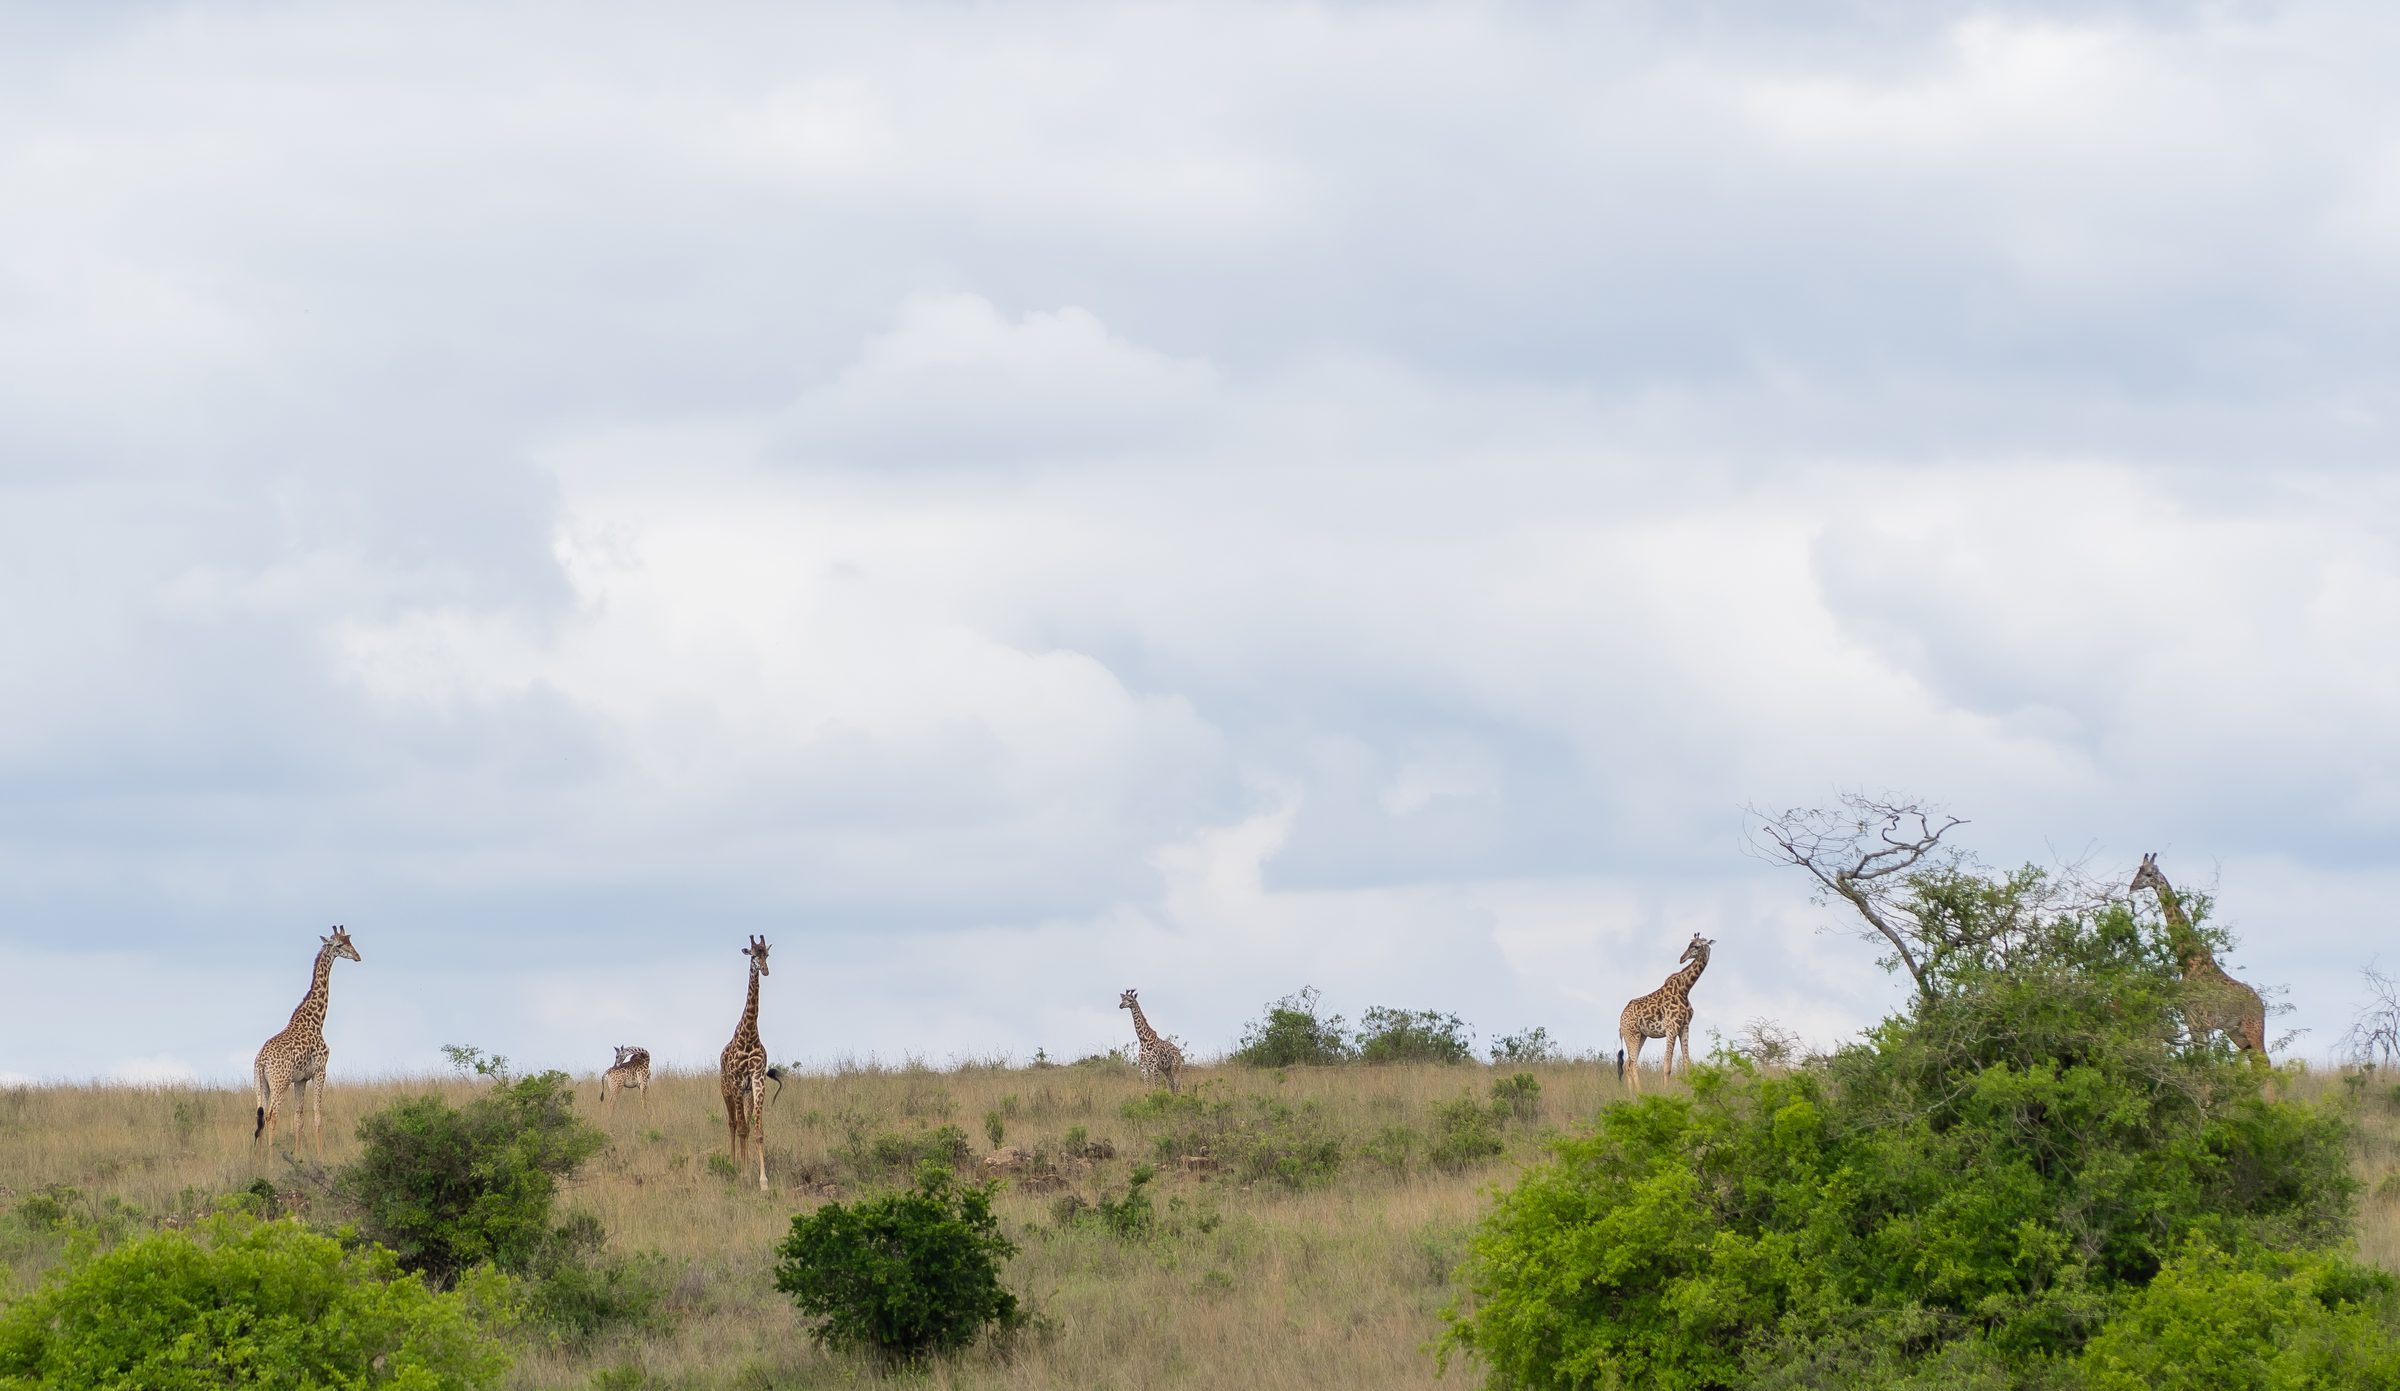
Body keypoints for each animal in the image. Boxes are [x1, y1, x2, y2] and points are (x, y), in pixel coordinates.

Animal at [252, 926, 362, 1159]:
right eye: (340, 945)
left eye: (350, 941)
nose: (358, 956)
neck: (317, 1019)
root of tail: (261, 1061)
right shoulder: (320, 1071)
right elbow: (318, 1115)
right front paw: (320, 1156)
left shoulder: (300, 1079)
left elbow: (298, 1119)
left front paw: (298, 1154)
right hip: (280, 1082)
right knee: (272, 1115)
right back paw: (271, 1159)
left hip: (261, 1084)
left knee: (259, 1115)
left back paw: (257, 1158)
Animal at [1615, 932, 1712, 1094]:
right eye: (1690, 945)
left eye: (1697, 946)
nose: (1682, 958)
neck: (1685, 989)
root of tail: (1620, 1021)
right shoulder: (1671, 1028)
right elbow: (1667, 1064)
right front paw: (1665, 1092)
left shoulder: (1684, 1027)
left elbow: (1687, 1063)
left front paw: (1691, 1091)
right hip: (1632, 1034)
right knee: (1632, 1063)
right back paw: (1640, 1093)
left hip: (1641, 1035)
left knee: (1627, 1064)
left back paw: (1631, 1094)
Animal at [2131, 852, 2267, 1056]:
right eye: (2138, 870)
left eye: (2148, 873)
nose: (2131, 887)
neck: (2188, 961)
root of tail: (2262, 1006)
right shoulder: (2191, 1020)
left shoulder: (2202, 1022)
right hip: (2237, 1033)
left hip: (2253, 1028)